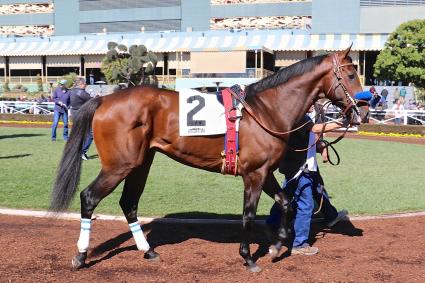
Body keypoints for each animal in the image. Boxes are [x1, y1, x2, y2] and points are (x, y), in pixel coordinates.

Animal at [49, 46, 362, 272]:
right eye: (349, 75)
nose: (363, 107)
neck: (266, 110)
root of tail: (104, 99)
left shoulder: (265, 172)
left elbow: (286, 203)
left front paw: (275, 248)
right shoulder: (254, 174)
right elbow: (248, 215)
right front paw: (249, 258)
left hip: (140, 163)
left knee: (129, 203)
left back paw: (148, 251)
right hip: (119, 165)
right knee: (89, 197)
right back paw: (80, 256)